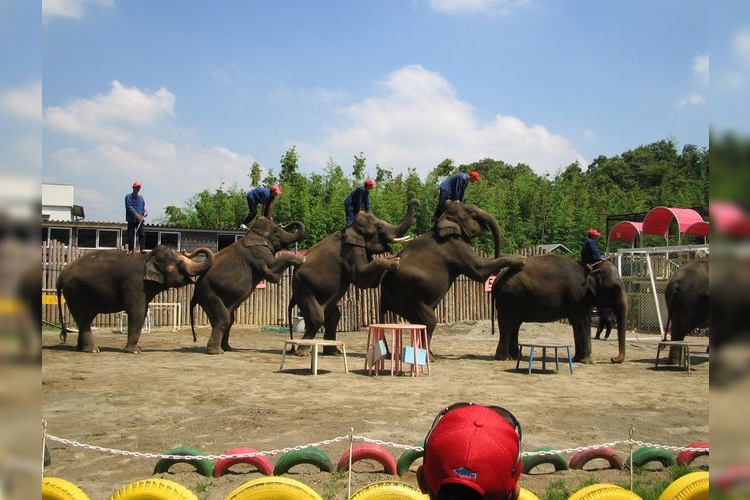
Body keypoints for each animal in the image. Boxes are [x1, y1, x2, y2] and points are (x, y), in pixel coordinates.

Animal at [56, 244, 212, 354]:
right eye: (179, 263)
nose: (185, 250)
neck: (148, 257)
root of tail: (62, 272)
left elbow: (142, 313)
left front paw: (139, 348)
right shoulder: (136, 284)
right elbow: (137, 311)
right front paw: (135, 351)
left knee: (85, 318)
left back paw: (81, 348)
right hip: (75, 290)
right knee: (83, 318)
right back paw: (93, 350)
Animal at [191, 217, 308, 354]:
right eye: (276, 231)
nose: (283, 222)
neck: (252, 233)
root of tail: (195, 293)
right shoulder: (259, 253)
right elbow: (272, 274)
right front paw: (303, 260)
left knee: (229, 320)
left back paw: (228, 348)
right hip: (209, 294)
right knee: (223, 320)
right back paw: (217, 352)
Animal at [288, 197, 420, 354]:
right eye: (379, 226)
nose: (416, 202)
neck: (351, 228)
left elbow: (370, 282)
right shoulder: (352, 250)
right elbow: (360, 278)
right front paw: (395, 261)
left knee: (333, 316)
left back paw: (333, 352)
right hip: (303, 286)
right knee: (317, 318)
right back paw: (302, 353)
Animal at [378, 200, 524, 352]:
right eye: (472, 213)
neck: (442, 220)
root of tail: (383, 296)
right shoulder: (456, 246)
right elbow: (479, 270)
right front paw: (521, 260)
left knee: (419, 324)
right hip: (408, 297)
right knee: (429, 322)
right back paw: (430, 355)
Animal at [494, 254, 628, 364]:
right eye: (615, 288)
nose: (613, 358)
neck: (589, 269)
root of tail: (498, 279)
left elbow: (577, 323)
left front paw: (577, 359)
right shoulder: (578, 295)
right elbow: (582, 321)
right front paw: (589, 361)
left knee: (515, 326)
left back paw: (516, 357)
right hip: (510, 300)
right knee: (507, 325)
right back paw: (504, 358)